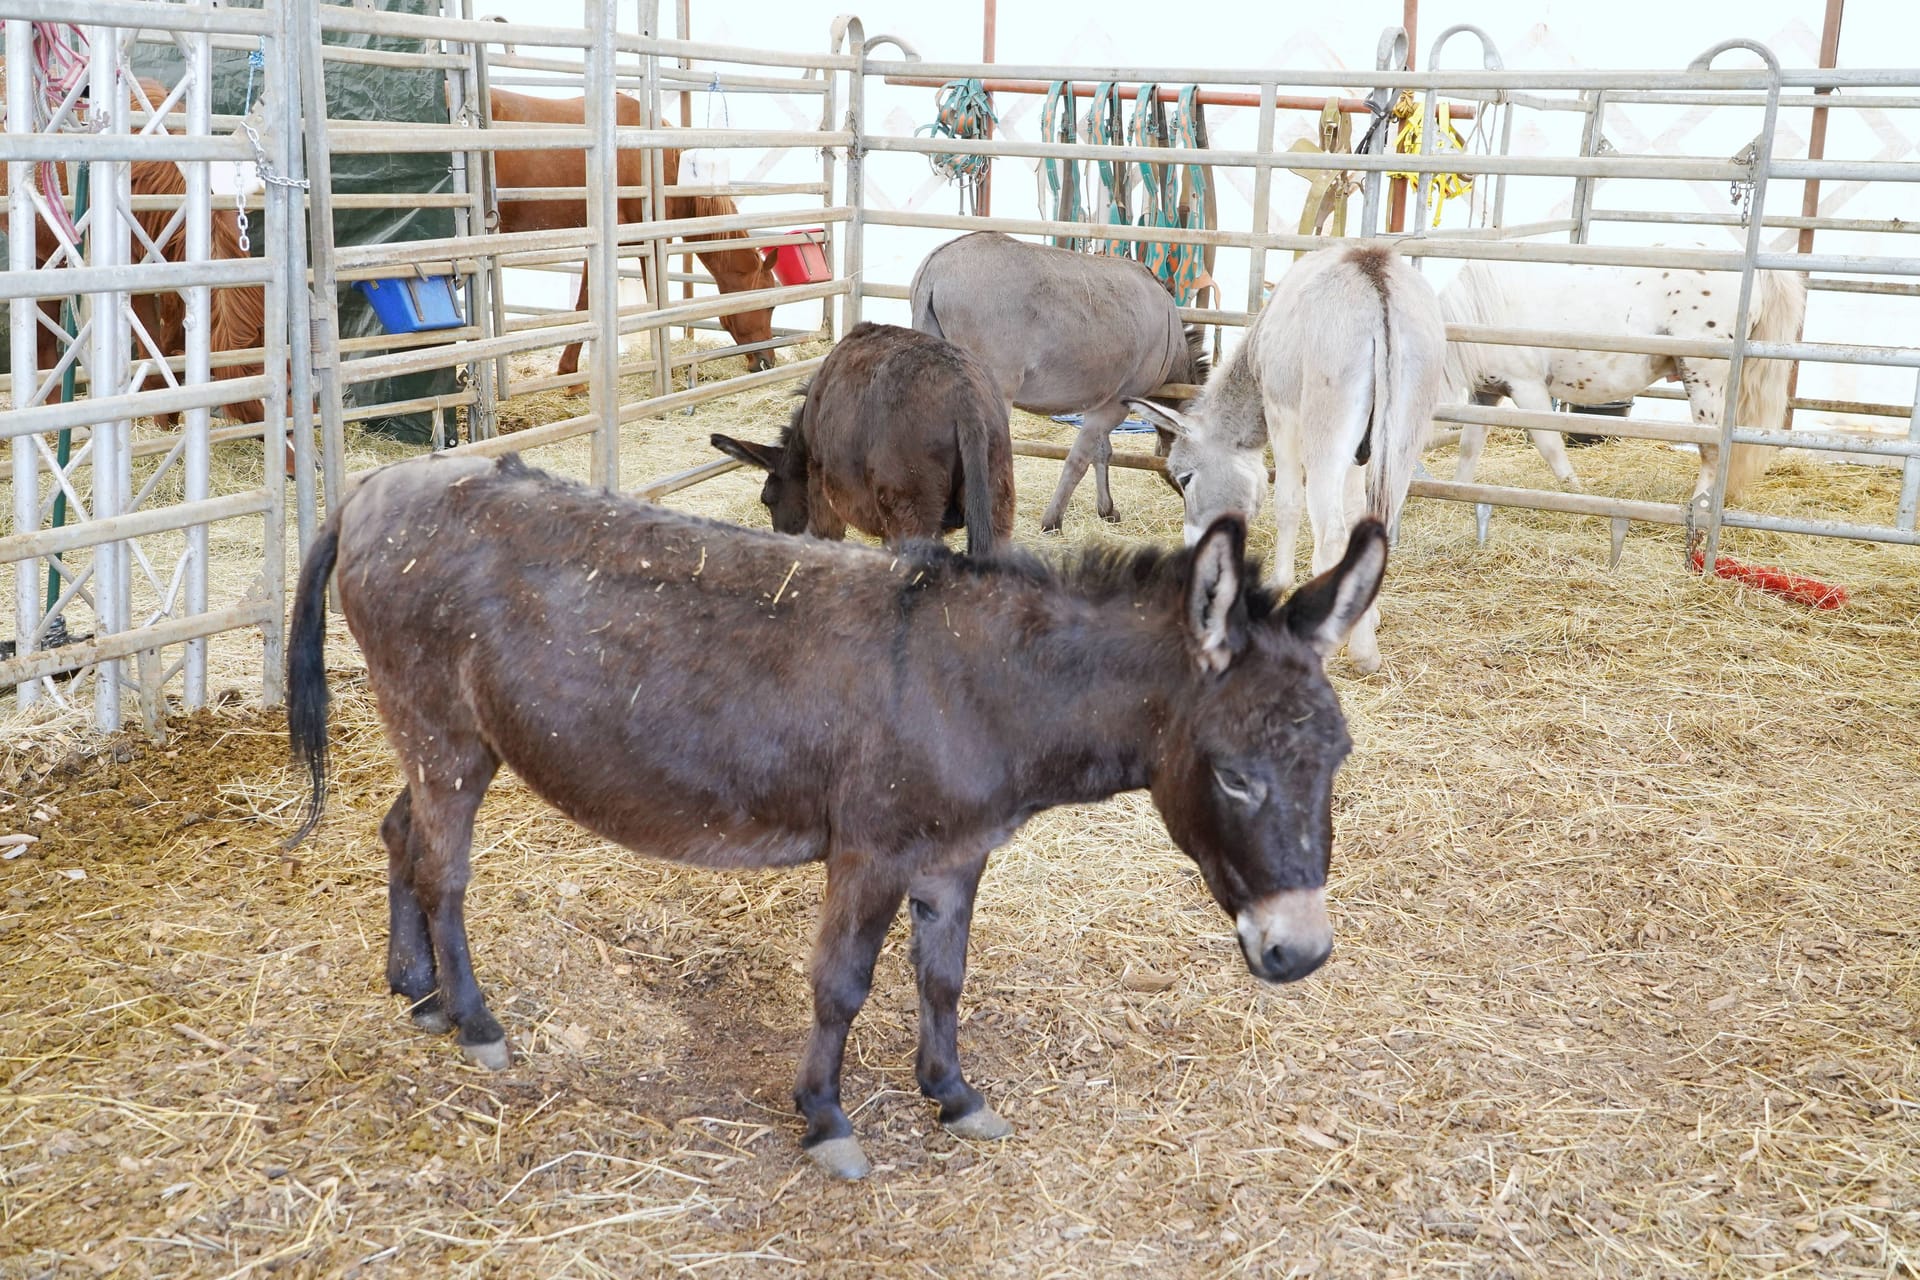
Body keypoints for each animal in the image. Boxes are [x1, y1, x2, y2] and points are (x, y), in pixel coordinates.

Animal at [284, 450, 1390, 1182]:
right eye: (1236, 777)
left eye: (1337, 759)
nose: (1301, 953)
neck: (984, 685)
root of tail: (373, 487)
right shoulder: (871, 852)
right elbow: (841, 985)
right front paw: (825, 1120)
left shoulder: (956, 856)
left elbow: (943, 977)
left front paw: (955, 1094)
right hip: (443, 732)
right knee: (446, 869)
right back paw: (473, 1019)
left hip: (452, 738)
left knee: (400, 834)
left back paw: (417, 988)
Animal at [487, 87, 779, 379]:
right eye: (770, 305)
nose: (767, 362)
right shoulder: (651, 243)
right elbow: (655, 302)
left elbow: (585, 303)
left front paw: (570, 374)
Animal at [1443, 253, 1804, 502]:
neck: (1482, 314)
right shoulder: (1485, 393)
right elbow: (1469, 447)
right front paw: (1456, 493)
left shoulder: (1527, 388)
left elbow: (1550, 446)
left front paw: (1576, 493)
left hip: (1704, 379)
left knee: (1712, 448)